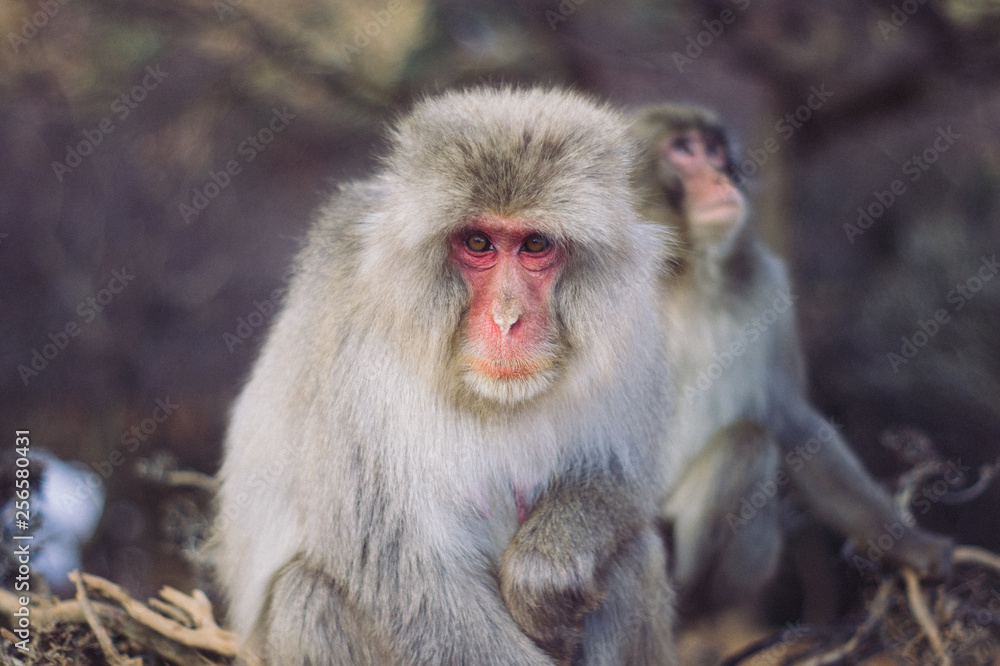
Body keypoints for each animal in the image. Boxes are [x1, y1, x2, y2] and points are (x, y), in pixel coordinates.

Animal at [214, 88, 676, 664]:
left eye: (535, 245)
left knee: (636, 552)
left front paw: (546, 569)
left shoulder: (634, 331)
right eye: (478, 243)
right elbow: (406, 576)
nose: (506, 319)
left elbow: (625, 481)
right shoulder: (360, 369)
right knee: (308, 598)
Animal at [624, 104, 952, 616]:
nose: (719, 176)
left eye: (713, 149)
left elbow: (790, 421)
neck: (683, 275)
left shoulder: (768, 288)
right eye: (683, 149)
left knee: (748, 443)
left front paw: (906, 543)